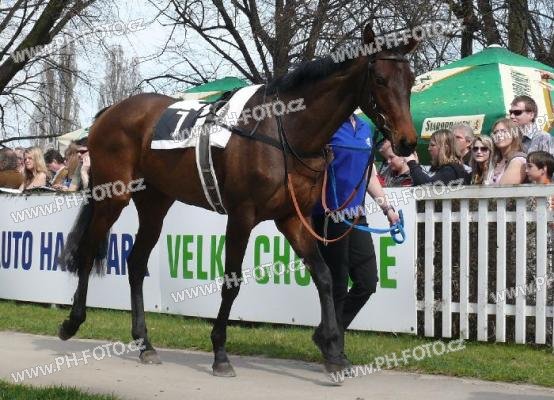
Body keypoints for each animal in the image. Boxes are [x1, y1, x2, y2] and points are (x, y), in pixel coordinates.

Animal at [57, 24, 418, 378]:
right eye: (380, 79)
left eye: (411, 80)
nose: (407, 141)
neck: (284, 128)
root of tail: (109, 112)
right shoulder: (242, 215)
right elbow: (232, 282)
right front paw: (220, 353)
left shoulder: (290, 217)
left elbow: (325, 276)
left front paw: (332, 349)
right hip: (113, 196)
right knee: (88, 251)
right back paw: (72, 322)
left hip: (155, 203)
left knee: (135, 263)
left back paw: (145, 344)